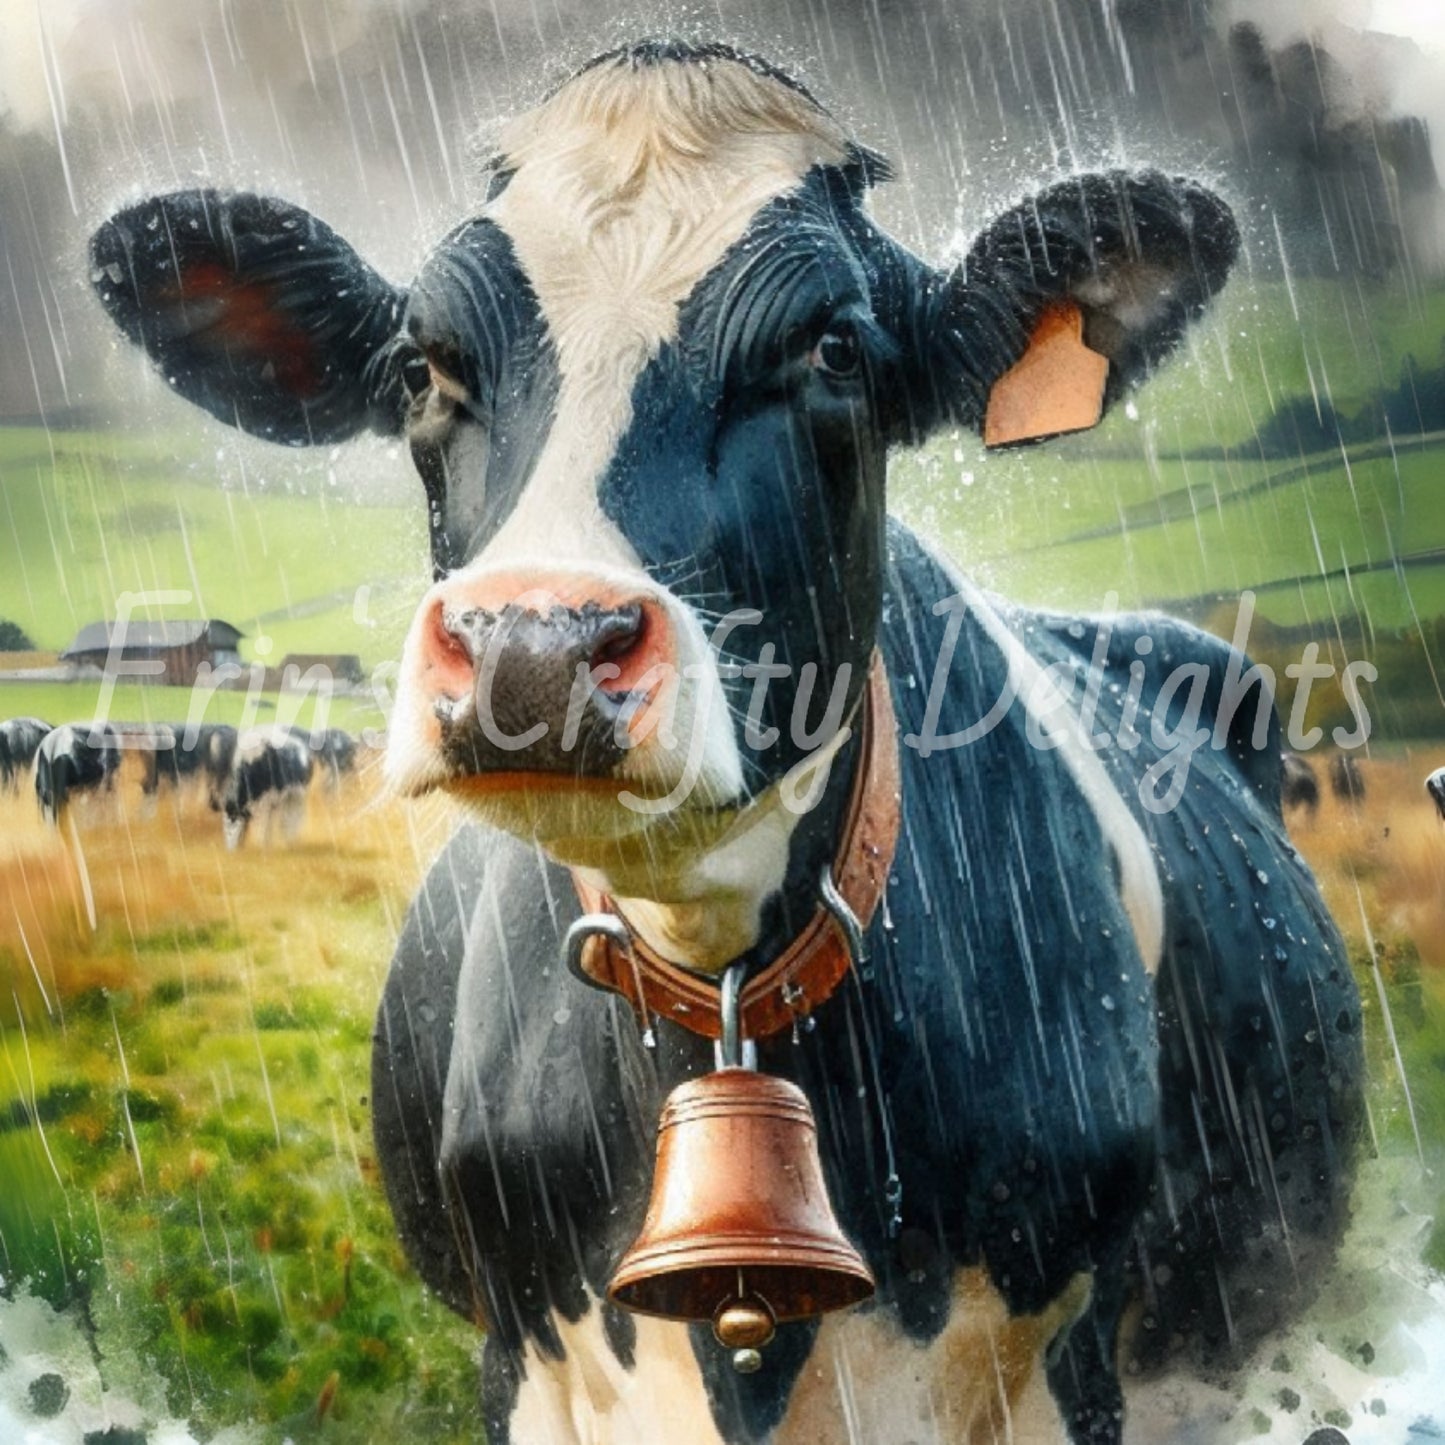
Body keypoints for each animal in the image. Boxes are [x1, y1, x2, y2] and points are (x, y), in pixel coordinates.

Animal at [89, 41, 1364, 1445]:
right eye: (421, 366)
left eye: (833, 347)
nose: (533, 644)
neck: (713, 956)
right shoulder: (526, 1354)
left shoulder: (1064, 1358)